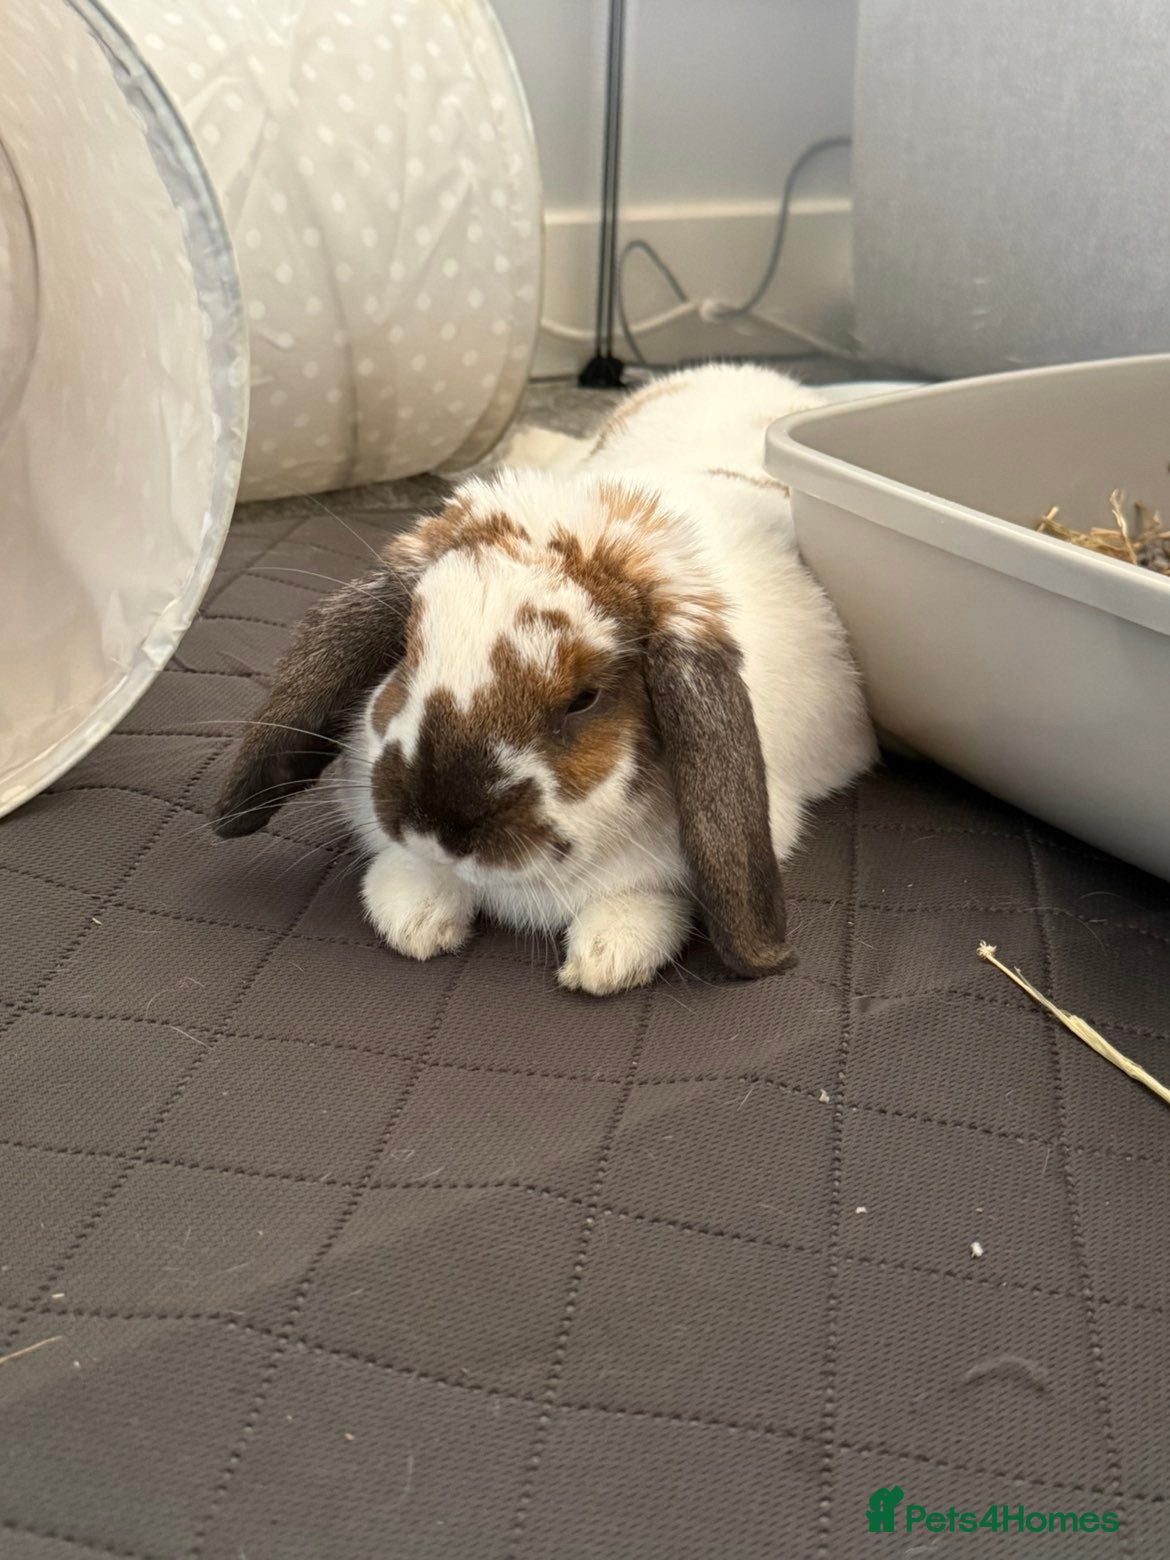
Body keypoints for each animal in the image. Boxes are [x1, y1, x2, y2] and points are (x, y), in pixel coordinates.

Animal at [212, 363, 876, 994]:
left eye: (583, 699)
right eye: (404, 651)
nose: (438, 825)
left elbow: (647, 901)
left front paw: (607, 959)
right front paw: (416, 920)